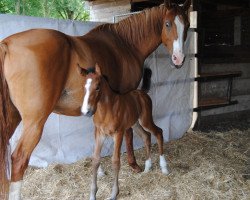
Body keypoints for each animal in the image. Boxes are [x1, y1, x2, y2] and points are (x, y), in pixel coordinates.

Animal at [79, 64, 169, 200]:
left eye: (97, 87)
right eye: (84, 87)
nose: (86, 111)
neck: (106, 110)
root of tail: (142, 92)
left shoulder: (119, 133)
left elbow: (115, 161)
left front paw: (113, 194)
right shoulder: (99, 134)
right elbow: (95, 160)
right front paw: (92, 195)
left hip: (145, 120)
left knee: (158, 132)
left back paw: (164, 168)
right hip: (135, 124)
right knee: (146, 136)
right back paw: (147, 167)